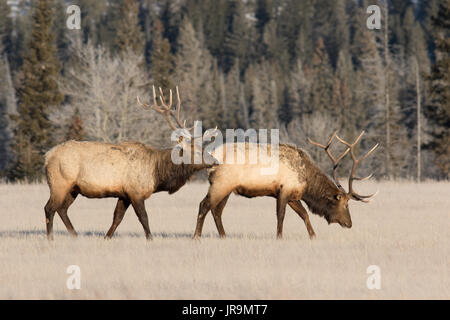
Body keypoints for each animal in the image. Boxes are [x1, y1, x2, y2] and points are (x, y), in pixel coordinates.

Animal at [42, 87, 211, 240]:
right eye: (196, 152)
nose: (214, 160)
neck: (157, 174)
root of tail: (47, 157)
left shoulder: (124, 194)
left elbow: (117, 218)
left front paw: (106, 237)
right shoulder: (135, 192)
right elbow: (144, 217)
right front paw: (150, 239)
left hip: (73, 189)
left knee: (62, 209)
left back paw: (75, 235)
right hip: (59, 183)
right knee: (49, 208)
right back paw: (51, 238)